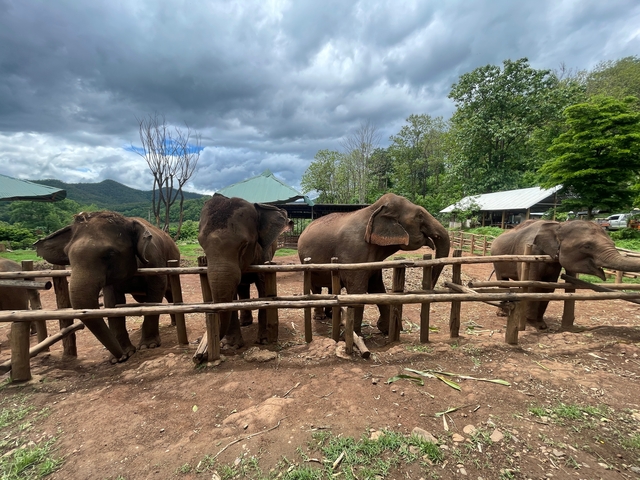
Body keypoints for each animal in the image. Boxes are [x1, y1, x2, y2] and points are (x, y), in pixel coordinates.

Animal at [34, 211, 180, 362]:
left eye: (110, 254)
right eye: (68, 256)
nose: (119, 356)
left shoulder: (154, 261)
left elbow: (155, 292)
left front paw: (147, 346)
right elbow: (112, 303)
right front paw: (123, 355)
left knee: (169, 293)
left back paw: (174, 323)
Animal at [198, 193, 292, 348]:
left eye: (244, 244)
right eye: (201, 243)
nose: (219, 341)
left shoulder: (264, 257)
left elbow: (264, 290)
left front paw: (263, 340)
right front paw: (232, 345)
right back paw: (245, 323)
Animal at [297, 193, 451, 335]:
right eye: (419, 216)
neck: (373, 209)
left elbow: (376, 287)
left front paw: (386, 329)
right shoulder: (353, 252)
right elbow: (358, 290)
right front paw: (355, 336)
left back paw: (331, 315)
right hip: (306, 263)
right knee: (315, 287)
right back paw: (320, 317)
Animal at [491, 219, 640, 329]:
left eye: (613, 243)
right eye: (587, 246)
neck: (558, 225)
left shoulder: (555, 261)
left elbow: (548, 288)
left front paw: (541, 325)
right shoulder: (530, 252)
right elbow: (533, 285)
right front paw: (530, 321)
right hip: (497, 259)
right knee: (502, 280)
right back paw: (502, 313)